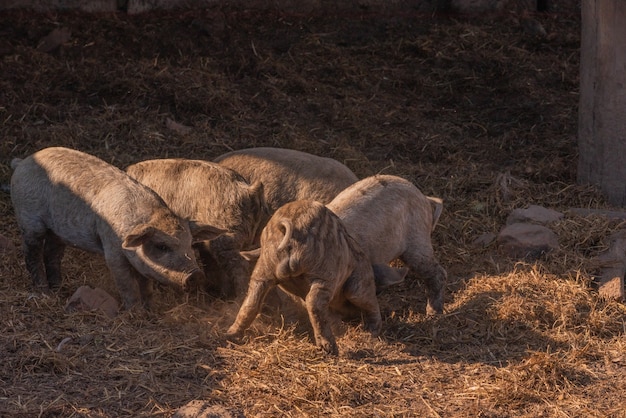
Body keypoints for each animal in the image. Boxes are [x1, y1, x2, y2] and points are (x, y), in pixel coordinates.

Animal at [11, 146, 223, 306]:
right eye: (162, 246)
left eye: (190, 244)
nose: (196, 275)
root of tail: (22, 162)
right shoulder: (112, 250)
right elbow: (126, 283)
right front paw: (134, 312)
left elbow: (146, 283)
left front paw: (151, 309)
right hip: (29, 219)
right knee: (32, 253)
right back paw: (44, 293)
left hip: (57, 231)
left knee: (53, 254)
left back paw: (59, 289)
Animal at [224, 200, 404, 356]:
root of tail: (291, 226)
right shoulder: (361, 280)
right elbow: (367, 302)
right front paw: (370, 330)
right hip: (324, 270)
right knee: (315, 302)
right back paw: (331, 349)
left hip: (265, 267)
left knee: (251, 301)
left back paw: (230, 335)